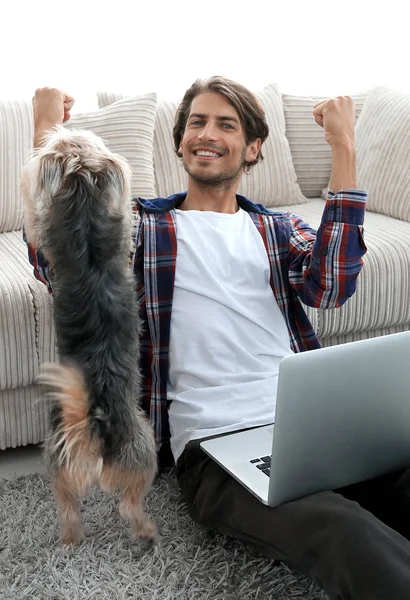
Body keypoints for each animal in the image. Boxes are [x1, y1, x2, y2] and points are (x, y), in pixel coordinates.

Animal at [20, 127, 159, 548]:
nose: (60, 128)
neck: (84, 205)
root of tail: (93, 424)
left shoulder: (41, 231)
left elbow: (34, 228)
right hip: (138, 453)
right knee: (123, 505)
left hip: (69, 459)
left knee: (84, 506)